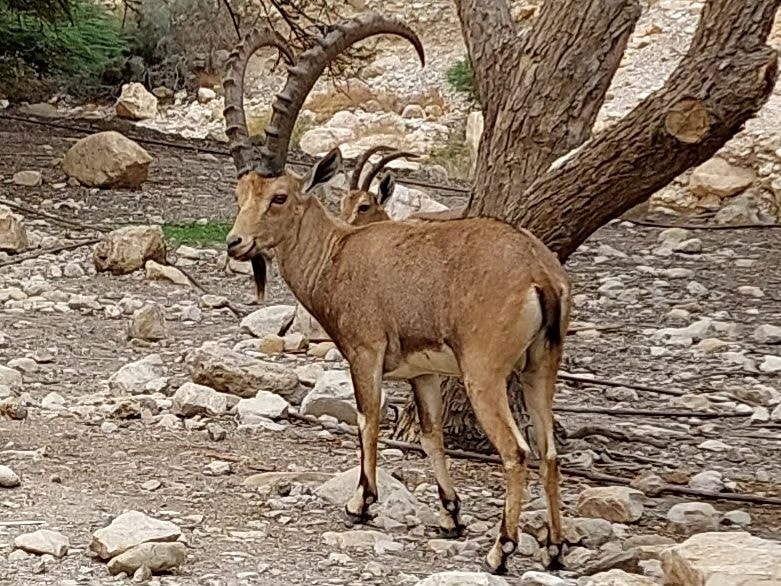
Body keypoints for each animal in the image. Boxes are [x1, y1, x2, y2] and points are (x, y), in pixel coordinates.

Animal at [222, 15, 572, 575]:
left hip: (485, 372)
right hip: (542, 368)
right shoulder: (423, 372)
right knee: (550, 452)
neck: (337, 254)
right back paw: (556, 549)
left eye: (279, 197)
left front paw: (360, 503)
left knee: (516, 451)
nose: (236, 243)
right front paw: (450, 515)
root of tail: (539, 276)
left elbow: (367, 419)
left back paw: (501, 549)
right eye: (240, 194)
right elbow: (430, 435)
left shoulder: (365, 352)